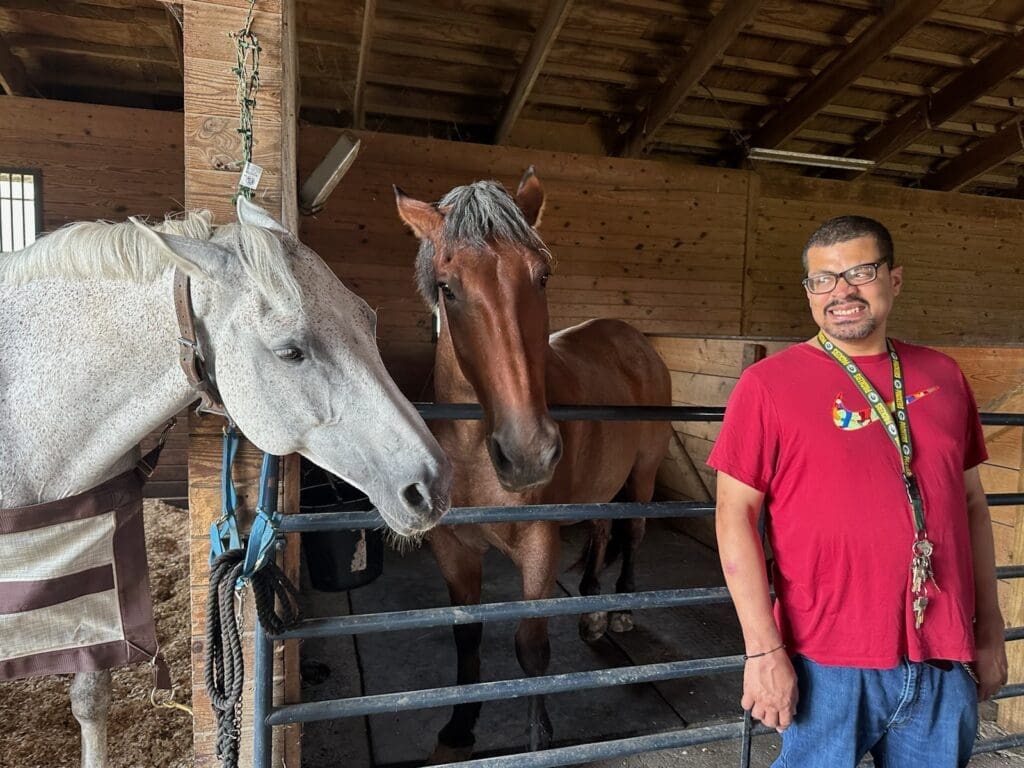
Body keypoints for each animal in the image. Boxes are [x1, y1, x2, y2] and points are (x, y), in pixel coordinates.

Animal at [395, 168, 672, 760]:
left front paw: (538, 738)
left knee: (632, 532)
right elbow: (467, 635)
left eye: (542, 276)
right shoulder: (453, 552)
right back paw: (589, 605)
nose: (528, 453)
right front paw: (457, 730)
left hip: (642, 474)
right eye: (448, 288)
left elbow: (532, 647)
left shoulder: (540, 545)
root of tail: (632, 339)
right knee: (600, 531)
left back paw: (619, 607)